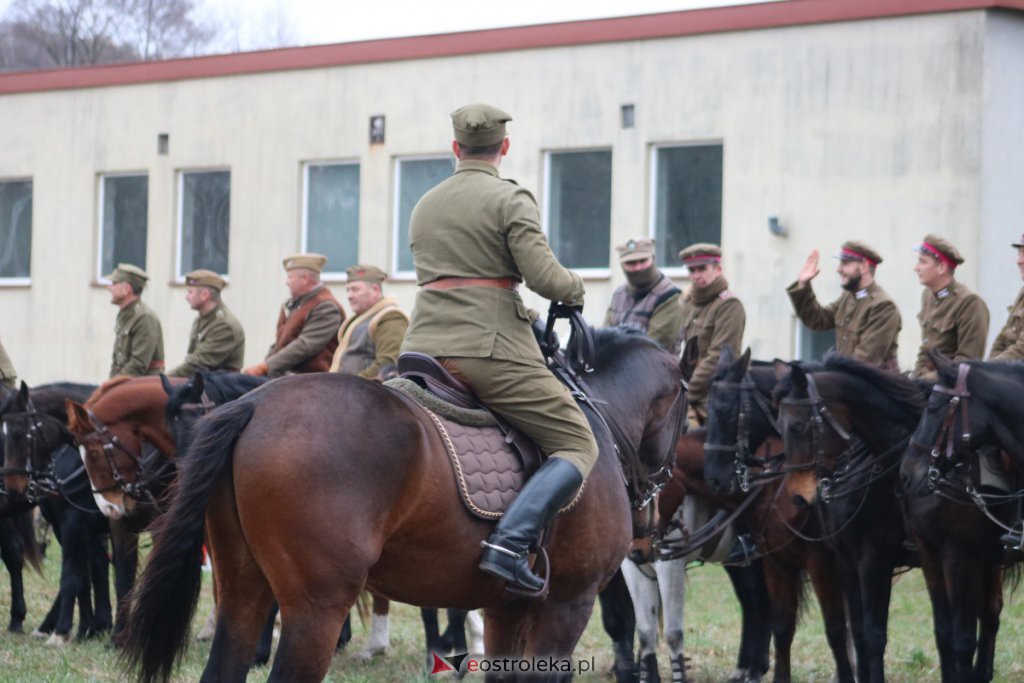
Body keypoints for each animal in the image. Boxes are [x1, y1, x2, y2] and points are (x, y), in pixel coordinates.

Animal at [121, 327, 688, 679]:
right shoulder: (568, 603)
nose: (649, 518)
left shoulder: (506, 608)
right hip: (316, 607)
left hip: (242, 590)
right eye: (685, 403)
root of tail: (257, 404)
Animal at [774, 358, 921, 683]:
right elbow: (859, 634)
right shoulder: (846, 562)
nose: (797, 498)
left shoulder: (874, 561)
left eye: (798, 426)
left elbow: (874, 634)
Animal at [901, 352, 1019, 683]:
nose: (906, 473)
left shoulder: (960, 558)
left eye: (932, 408)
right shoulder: (931, 555)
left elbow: (963, 638)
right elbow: (945, 632)